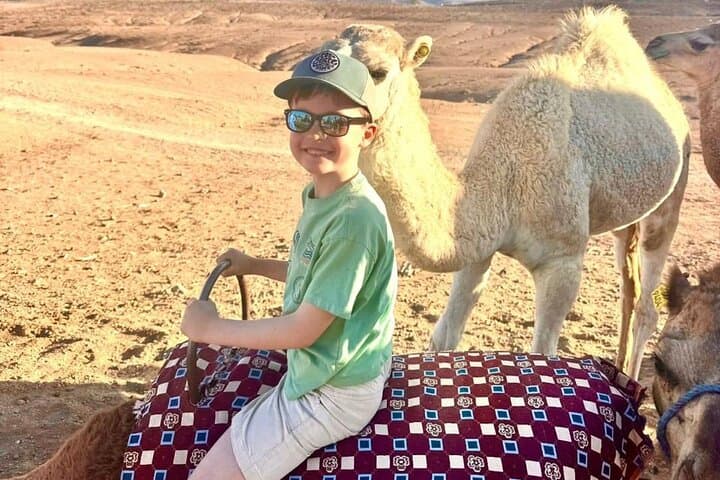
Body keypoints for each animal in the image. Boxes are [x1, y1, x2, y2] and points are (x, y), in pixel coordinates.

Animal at [321, 6, 691, 380]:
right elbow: (444, 338)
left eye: (378, 72)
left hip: (674, 188)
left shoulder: (563, 260)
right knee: (629, 287)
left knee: (648, 302)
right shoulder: (475, 248)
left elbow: (544, 352)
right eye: (318, 58)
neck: (506, 184)